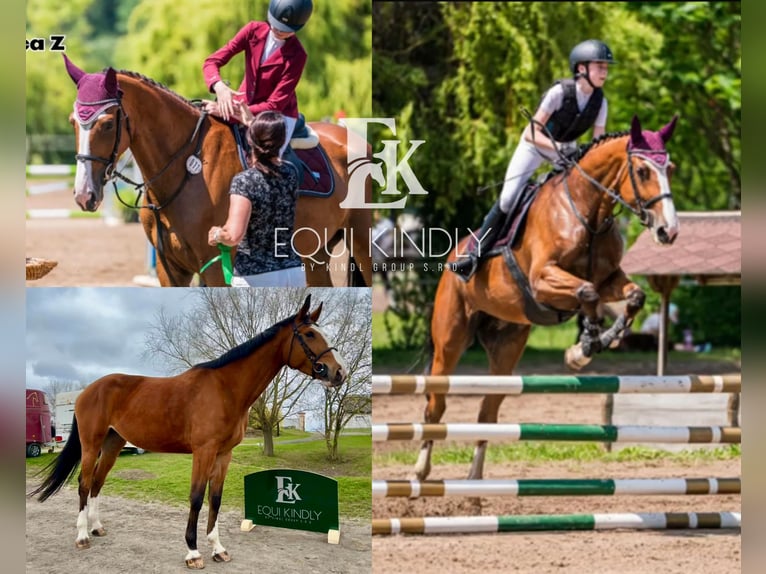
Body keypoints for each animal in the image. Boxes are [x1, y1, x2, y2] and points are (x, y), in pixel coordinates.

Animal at [29, 294, 347, 569]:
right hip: (91, 443)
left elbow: (215, 498)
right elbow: (196, 497)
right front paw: (193, 552)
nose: (338, 373)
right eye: (309, 334)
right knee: (84, 483)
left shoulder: (224, 454)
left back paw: (96, 528)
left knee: (97, 482)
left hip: (113, 444)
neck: (226, 389)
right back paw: (82, 536)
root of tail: (88, 391)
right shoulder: (203, 451)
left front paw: (218, 549)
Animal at [62, 54, 372, 287]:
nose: (84, 195)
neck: (186, 167)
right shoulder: (169, 269)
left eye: (107, 124)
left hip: (360, 241)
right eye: (73, 122)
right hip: (315, 252)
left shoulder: (215, 266)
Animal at [415, 115, 680, 482]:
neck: (587, 211)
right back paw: (421, 470)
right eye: (642, 171)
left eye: (670, 168)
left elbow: (632, 296)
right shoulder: (542, 280)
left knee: (487, 411)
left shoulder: (610, 278)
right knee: (435, 404)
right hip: (450, 339)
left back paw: (474, 483)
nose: (669, 231)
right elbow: (587, 292)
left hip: (507, 345)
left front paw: (592, 344)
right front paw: (584, 347)